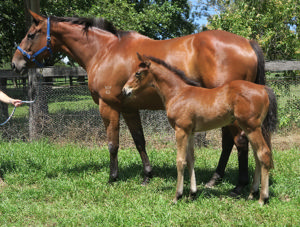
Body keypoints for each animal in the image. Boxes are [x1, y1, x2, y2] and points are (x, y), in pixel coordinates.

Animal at [122, 53, 276, 206]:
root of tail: (263, 89)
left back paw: (262, 198)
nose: (125, 90)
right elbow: (190, 160)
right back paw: (252, 193)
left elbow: (180, 161)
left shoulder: (181, 130)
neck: (178, 93)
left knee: (263, 153)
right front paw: (192, 194)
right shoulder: (190, 132)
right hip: (250, 128)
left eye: (138, 73)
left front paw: (177, 196)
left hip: (251, 127)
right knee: (257, 156)